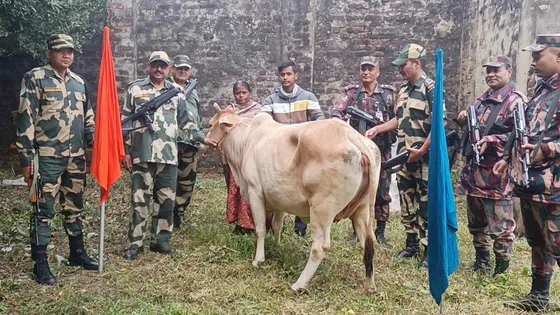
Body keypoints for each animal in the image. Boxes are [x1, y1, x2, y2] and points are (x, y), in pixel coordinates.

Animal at [208, 104, 382, 294]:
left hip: (322, 209)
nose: (205, 141)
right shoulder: (279, 200)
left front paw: (258, 260)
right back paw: (370, 285)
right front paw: (277, 246)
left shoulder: (255, 192)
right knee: (367, 244)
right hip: (362, 210)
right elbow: (276, 226)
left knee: (319, 247)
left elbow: (260, 229)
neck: (245, 141)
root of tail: (349, 133)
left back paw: (299, 284)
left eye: (211, 124)